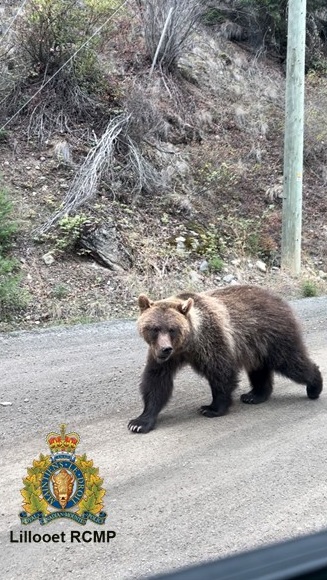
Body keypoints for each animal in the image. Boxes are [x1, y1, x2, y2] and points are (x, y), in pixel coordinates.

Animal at [128, 284, 322, 430]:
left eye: (172, 329)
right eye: (154, 328)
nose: (165, 349)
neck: (188, 343)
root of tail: (279, 299)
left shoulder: (211, 341)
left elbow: (221, 372)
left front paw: (211, 408)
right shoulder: (163, 356)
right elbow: (156, 381)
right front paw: (139, 422)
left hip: (274, 334)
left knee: (292, 362)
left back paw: (314, 386)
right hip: (255, 346)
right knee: (259, 369)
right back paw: (254, 395)